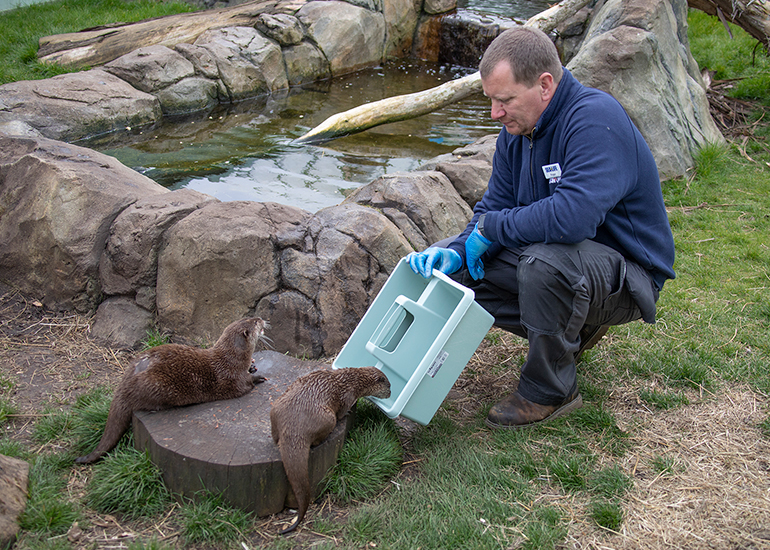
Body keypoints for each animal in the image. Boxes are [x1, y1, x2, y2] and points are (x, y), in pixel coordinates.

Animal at [75, 317, 269, 465]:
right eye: (254, 322)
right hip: (156, 386)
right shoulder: (233, 379)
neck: (232, 358)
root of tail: (126, 381)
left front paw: (253, 367)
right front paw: (257, 377)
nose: (261, 318)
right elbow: (245, 385)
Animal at [270, 367, 391, 535]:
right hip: (328, 418)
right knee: (326, 429)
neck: (354, 381)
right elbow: (342, 413)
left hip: (275, 408)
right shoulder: (349, 396)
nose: (391, 393)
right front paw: (347, 413)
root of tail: (295, 430)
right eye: (389, 386)